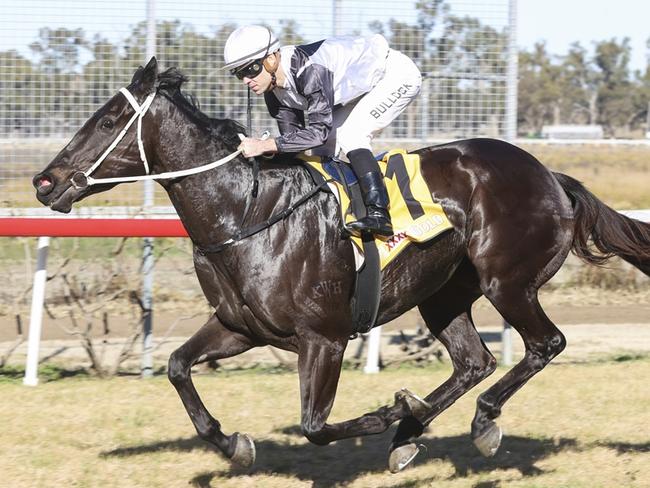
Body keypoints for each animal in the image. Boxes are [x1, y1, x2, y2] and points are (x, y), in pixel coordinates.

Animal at [31, 58, 648, 472]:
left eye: (109, 119)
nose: (45, 182)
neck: (248, 211)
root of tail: (550, 175)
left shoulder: (323, 337)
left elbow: (315, 425)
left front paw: (386, 412)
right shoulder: (240, 327)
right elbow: (178, 367)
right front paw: (234, 444)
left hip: (508, 281)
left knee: (545, 344)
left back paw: (475, 422)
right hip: (443, 294)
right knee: (474, 362)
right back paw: (412, 432)